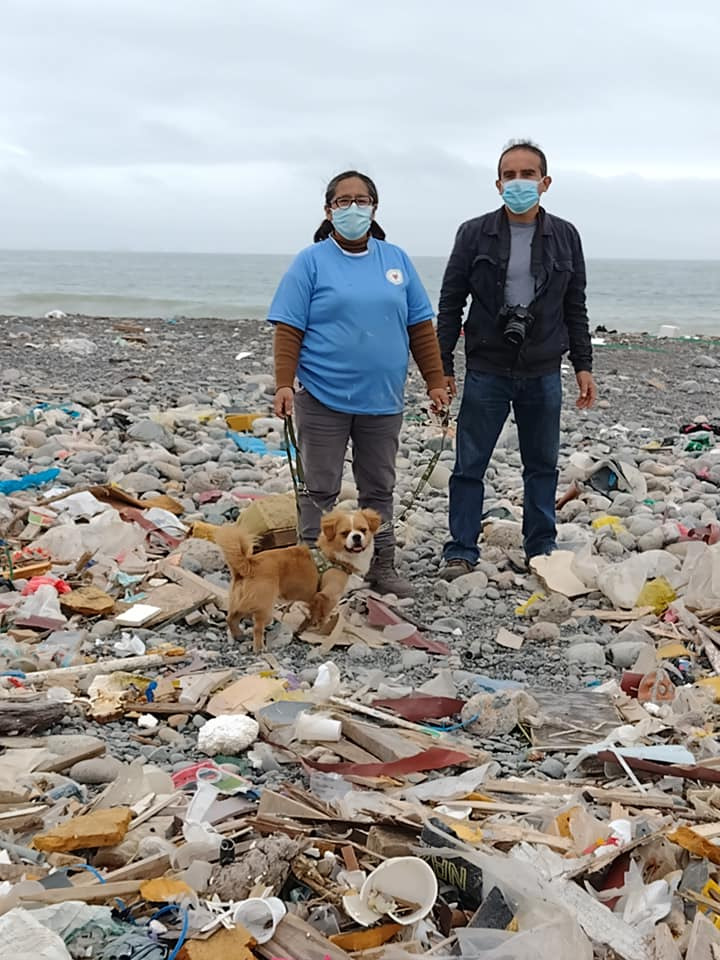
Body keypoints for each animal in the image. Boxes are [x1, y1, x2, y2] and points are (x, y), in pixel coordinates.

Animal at [214, 506, 382, 648]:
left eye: (363, 530)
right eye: (345, 533)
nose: (357, 537)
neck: (336, 556)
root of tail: (248, 564)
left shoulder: (314, 599)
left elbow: (312, 615)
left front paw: (306, 628)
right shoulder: (328, 596)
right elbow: (323, 616)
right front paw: (323, 631)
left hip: (243, 602)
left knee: (231, 618)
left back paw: (238, 636)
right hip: (264, 605)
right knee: (257, 628)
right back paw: (259, 648)